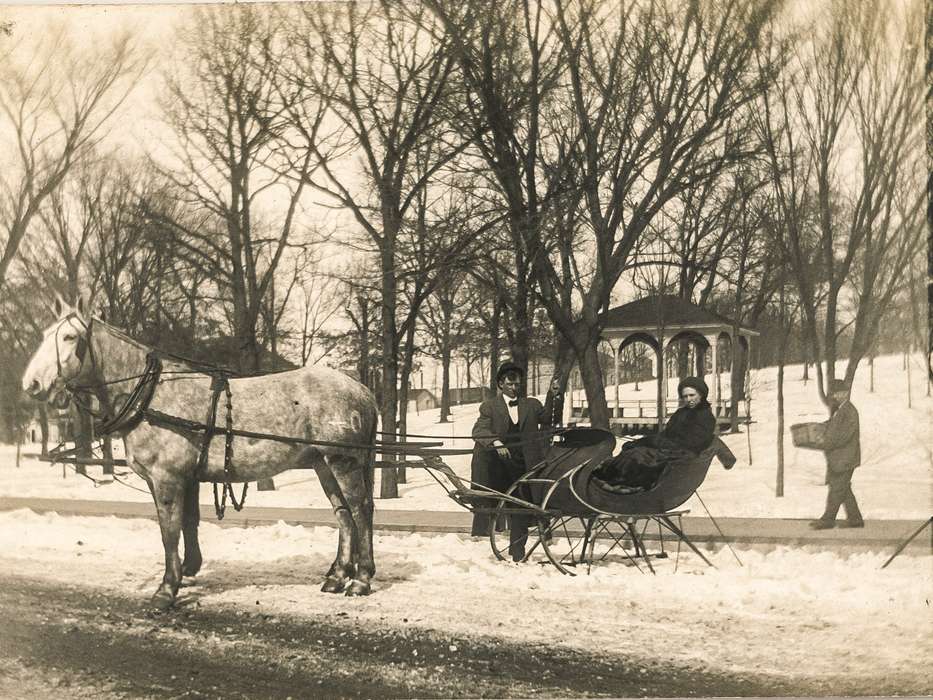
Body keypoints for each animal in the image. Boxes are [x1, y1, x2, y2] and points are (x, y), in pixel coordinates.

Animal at [21, 300, 378, 608]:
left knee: (360, 510)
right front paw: (188, 570)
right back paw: (337, 576)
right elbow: (189, 523)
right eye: (45, 334)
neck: (151, 395)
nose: (31, 384)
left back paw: (361, 579)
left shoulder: (167, 478)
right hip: (323, 463)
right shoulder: (187, 477)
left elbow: (169, 530)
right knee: (343, 514)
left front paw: (167, 589)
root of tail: (362, 390)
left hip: (343, 460)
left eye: (69, 337)